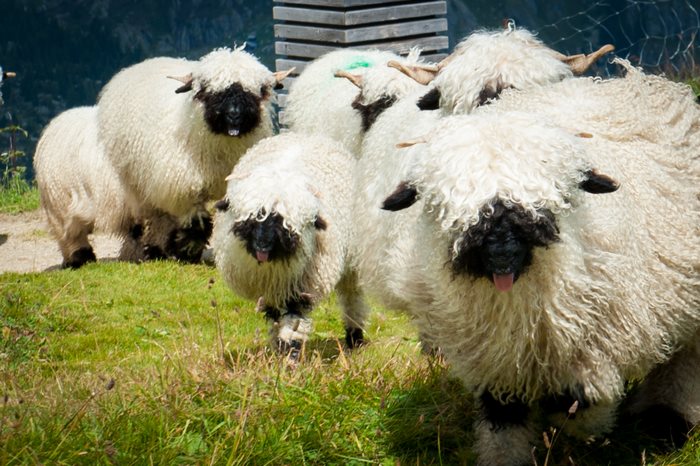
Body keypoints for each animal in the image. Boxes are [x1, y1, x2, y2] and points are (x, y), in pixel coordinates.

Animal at [97, 46, 292, 262]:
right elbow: (195, 222)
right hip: (135, 180)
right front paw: (187, 252)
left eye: (257, 90)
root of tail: (139, 65)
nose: (234, 115)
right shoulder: (183, 187)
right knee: (149, 215)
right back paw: (147, 250)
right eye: (209, 91)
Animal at [211, 132, 369, 358]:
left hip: (351, 261)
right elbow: (275, 317)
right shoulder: (271, 287)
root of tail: (307, 135)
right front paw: (279, 349)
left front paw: (290, 353)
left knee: (352, 297)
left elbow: (294, 321)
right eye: (251, 219)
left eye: (285, 225)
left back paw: (355, 336)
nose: (262, 247)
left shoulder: (303, 286)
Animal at [378, 110, 700, 466]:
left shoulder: (605, 341)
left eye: (545, 205)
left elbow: (578, 400)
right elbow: (504, 413)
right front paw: (507, 457)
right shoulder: (492, 358)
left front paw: (590, 426)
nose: (501, 256)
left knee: (684, 366)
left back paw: (664, 425)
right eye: (445, 210)